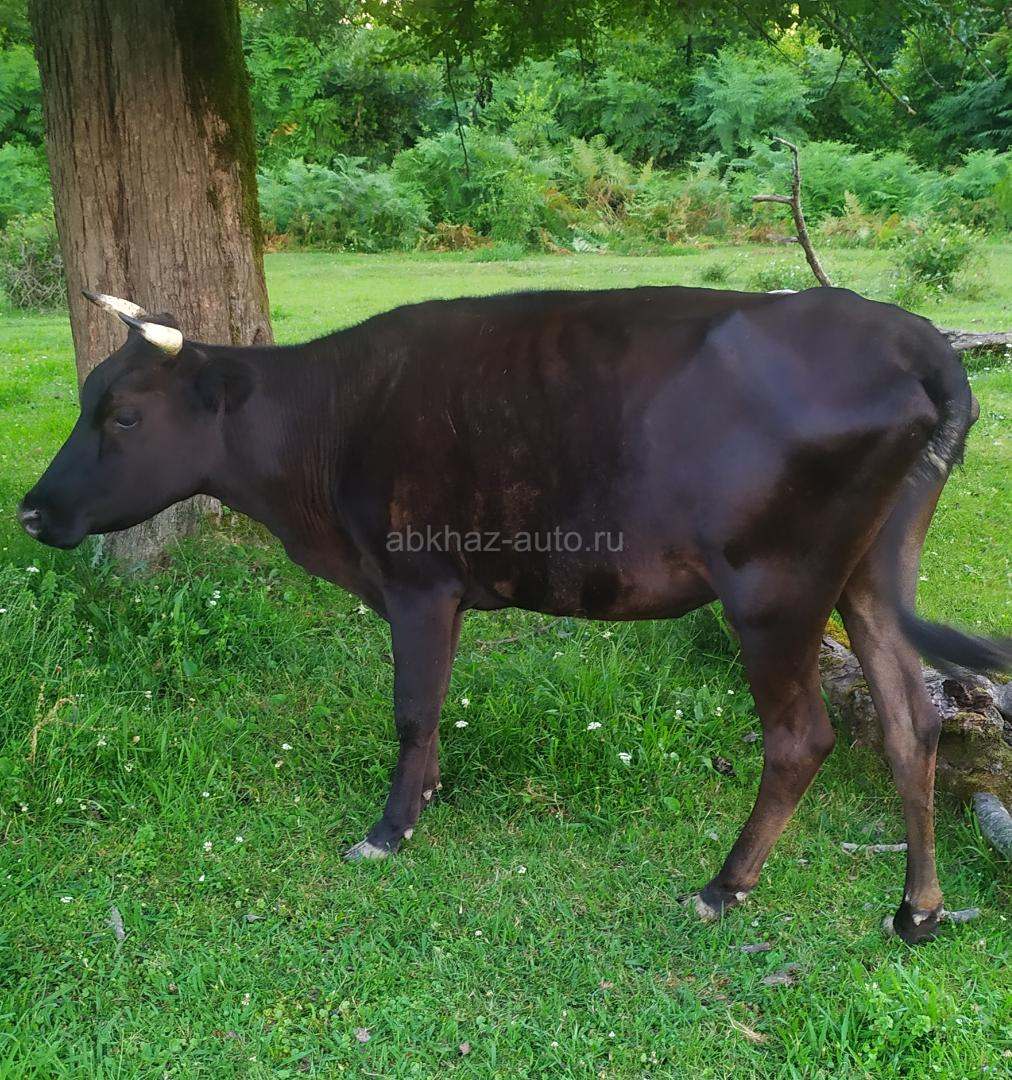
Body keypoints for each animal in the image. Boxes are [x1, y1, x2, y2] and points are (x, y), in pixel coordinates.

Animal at [20, 286, 1010, 944]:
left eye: (122, 415)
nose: (30, 512)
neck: (323, 430)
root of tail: (906, 333)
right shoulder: (445, 592)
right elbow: (432, 709)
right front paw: (425, 795)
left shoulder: (417, 580)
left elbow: (412, 707)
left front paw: (388, 831)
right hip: (872, 571)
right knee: (909, 720)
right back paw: (918, 908)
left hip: (774, 588)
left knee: (804, 736)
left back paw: (723, 887)